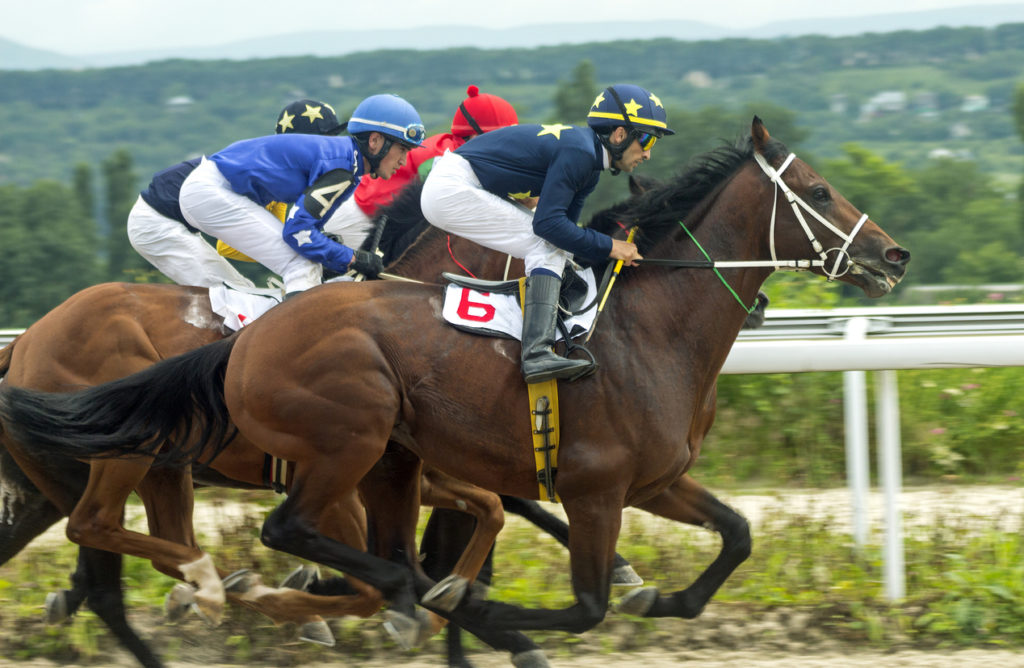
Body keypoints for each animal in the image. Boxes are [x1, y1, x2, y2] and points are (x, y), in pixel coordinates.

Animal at [0, 118, 905, 663]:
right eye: (818, 193)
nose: (892, 255)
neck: (645, 330)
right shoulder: (593, 488)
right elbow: (570, 598)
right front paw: (485, 616)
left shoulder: (651, 481)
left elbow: (735, 537)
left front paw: (651, 592)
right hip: (319, 444)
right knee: (235, 536)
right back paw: (225, 585)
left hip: (246, 466)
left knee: (111, 558)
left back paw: (212, 592)